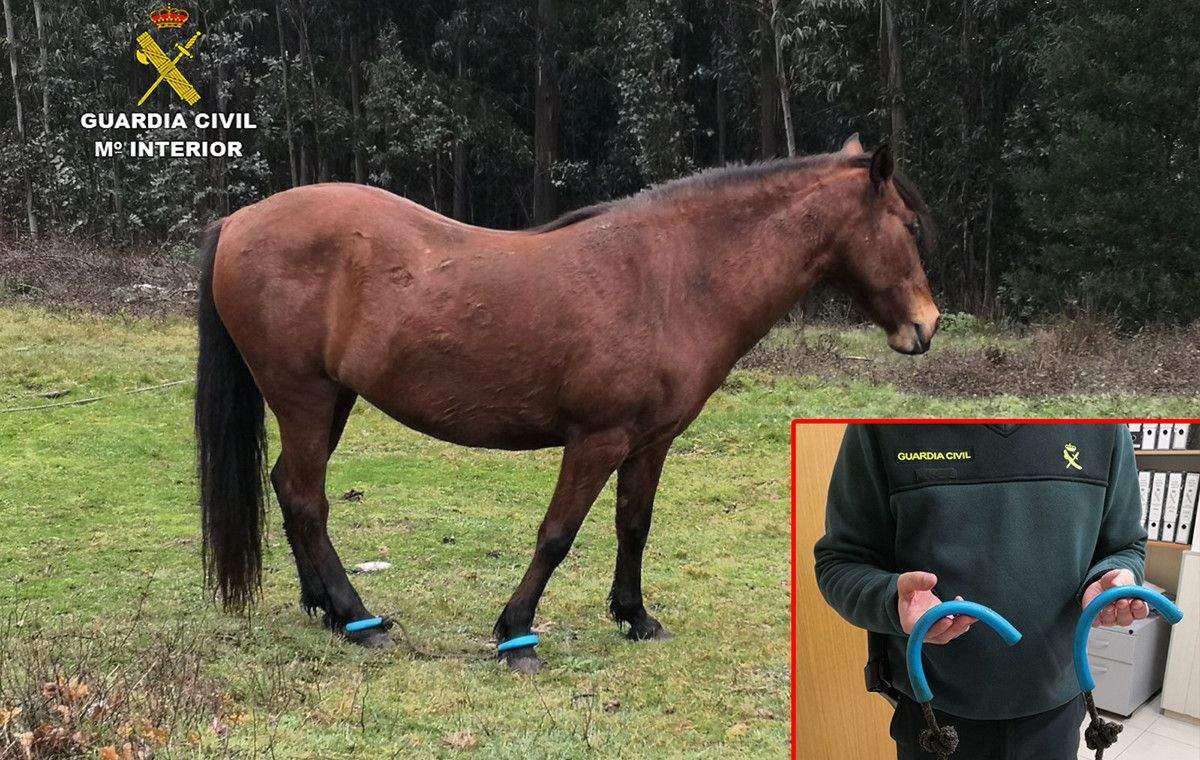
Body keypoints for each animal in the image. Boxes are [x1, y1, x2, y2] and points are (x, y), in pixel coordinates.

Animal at [194, 135, 939, 673]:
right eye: (908, 226)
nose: (926, 327)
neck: (672, 277)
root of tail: (239, 221)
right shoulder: (596, 440)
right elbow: (556, 535)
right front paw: (515, 635)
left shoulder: (651, 441)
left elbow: (633, 525)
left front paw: (635, 617)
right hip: (304, 396)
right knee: (305, 499)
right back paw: (356, 619)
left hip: (332, 400)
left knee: (288, 488)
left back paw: (324, 608)